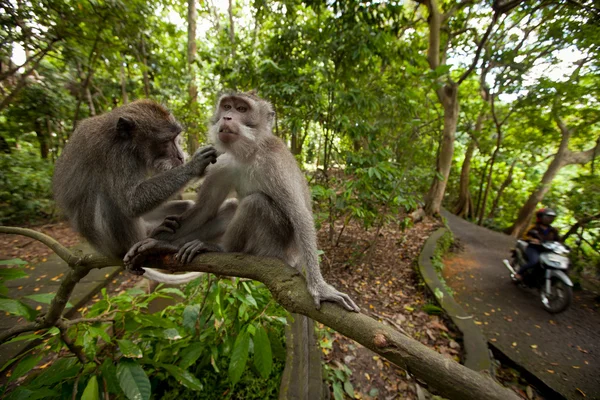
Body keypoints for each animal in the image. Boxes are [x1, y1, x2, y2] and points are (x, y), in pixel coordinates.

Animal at [51, 98, 236, 282]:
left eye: (176, 137)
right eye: (166, 141)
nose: (180, 156)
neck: (126, 142)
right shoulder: (115, 155)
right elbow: (131, 202)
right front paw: (195, 166)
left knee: (182, 206)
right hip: (112, 242)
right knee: (112, 203)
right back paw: (147, 239)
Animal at [123, 91, 356, 312]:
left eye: (242, 109)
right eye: (227, 106)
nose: (227, 117)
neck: (249, 153)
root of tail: (292, 259)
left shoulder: (275, 161)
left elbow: (300, 215)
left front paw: (320, 288)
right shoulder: (223, 162)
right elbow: (204, 210)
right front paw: (157, 243)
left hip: (273, 247)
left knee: (255, 202)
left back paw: (222, 249)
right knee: (232, 206)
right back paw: (174, 246)